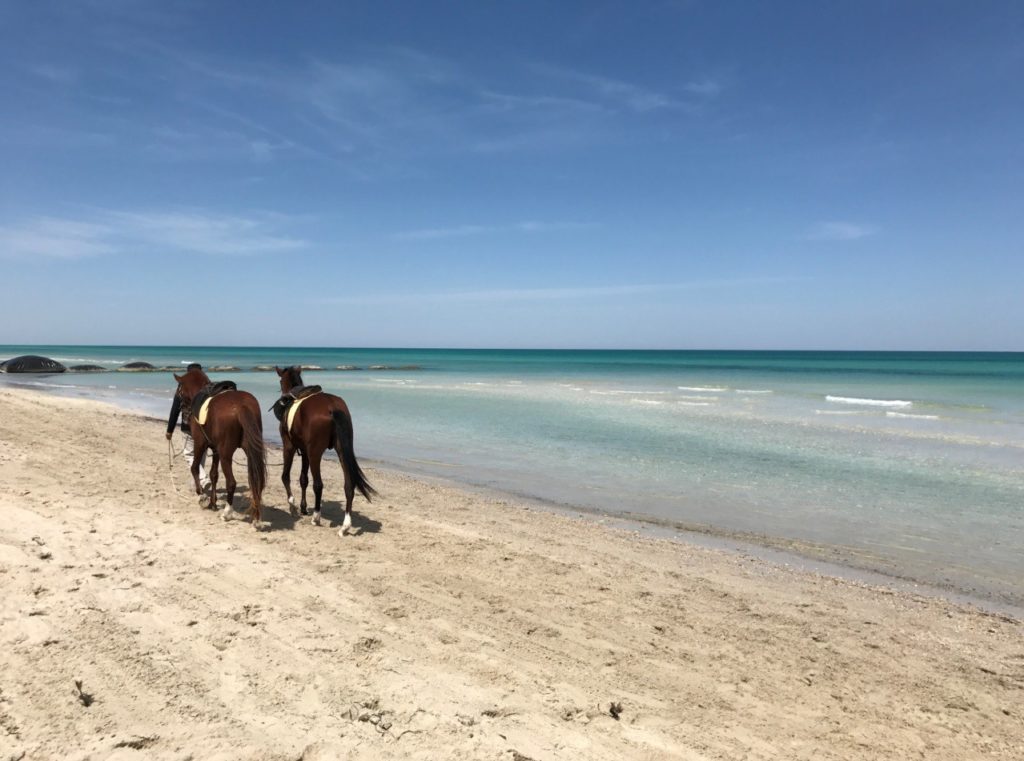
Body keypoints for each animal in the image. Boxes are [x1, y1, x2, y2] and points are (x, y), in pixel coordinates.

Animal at [172, 367, 268, 527]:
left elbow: (195, 467)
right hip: (251, 450)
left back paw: (227, 513)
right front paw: (213, 502)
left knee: (232, 482)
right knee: (256, 480)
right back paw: (257, 518)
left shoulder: (200, 443)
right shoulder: (216, 449)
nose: (184, 416)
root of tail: (242, 406)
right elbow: (213, 475)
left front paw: (202, 496)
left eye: (179, 392)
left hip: (226, 454)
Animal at [274, 365, 376, 535]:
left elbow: (285, 476)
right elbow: (303, 479)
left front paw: (293, 506)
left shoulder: (289, 446)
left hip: (315, 453)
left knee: (318, 484)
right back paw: (345, 525)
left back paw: (316, 517)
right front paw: (303, 507)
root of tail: (332, 406)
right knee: (349, 486)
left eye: (281, 381)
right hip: (341, 451)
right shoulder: (305, 451)